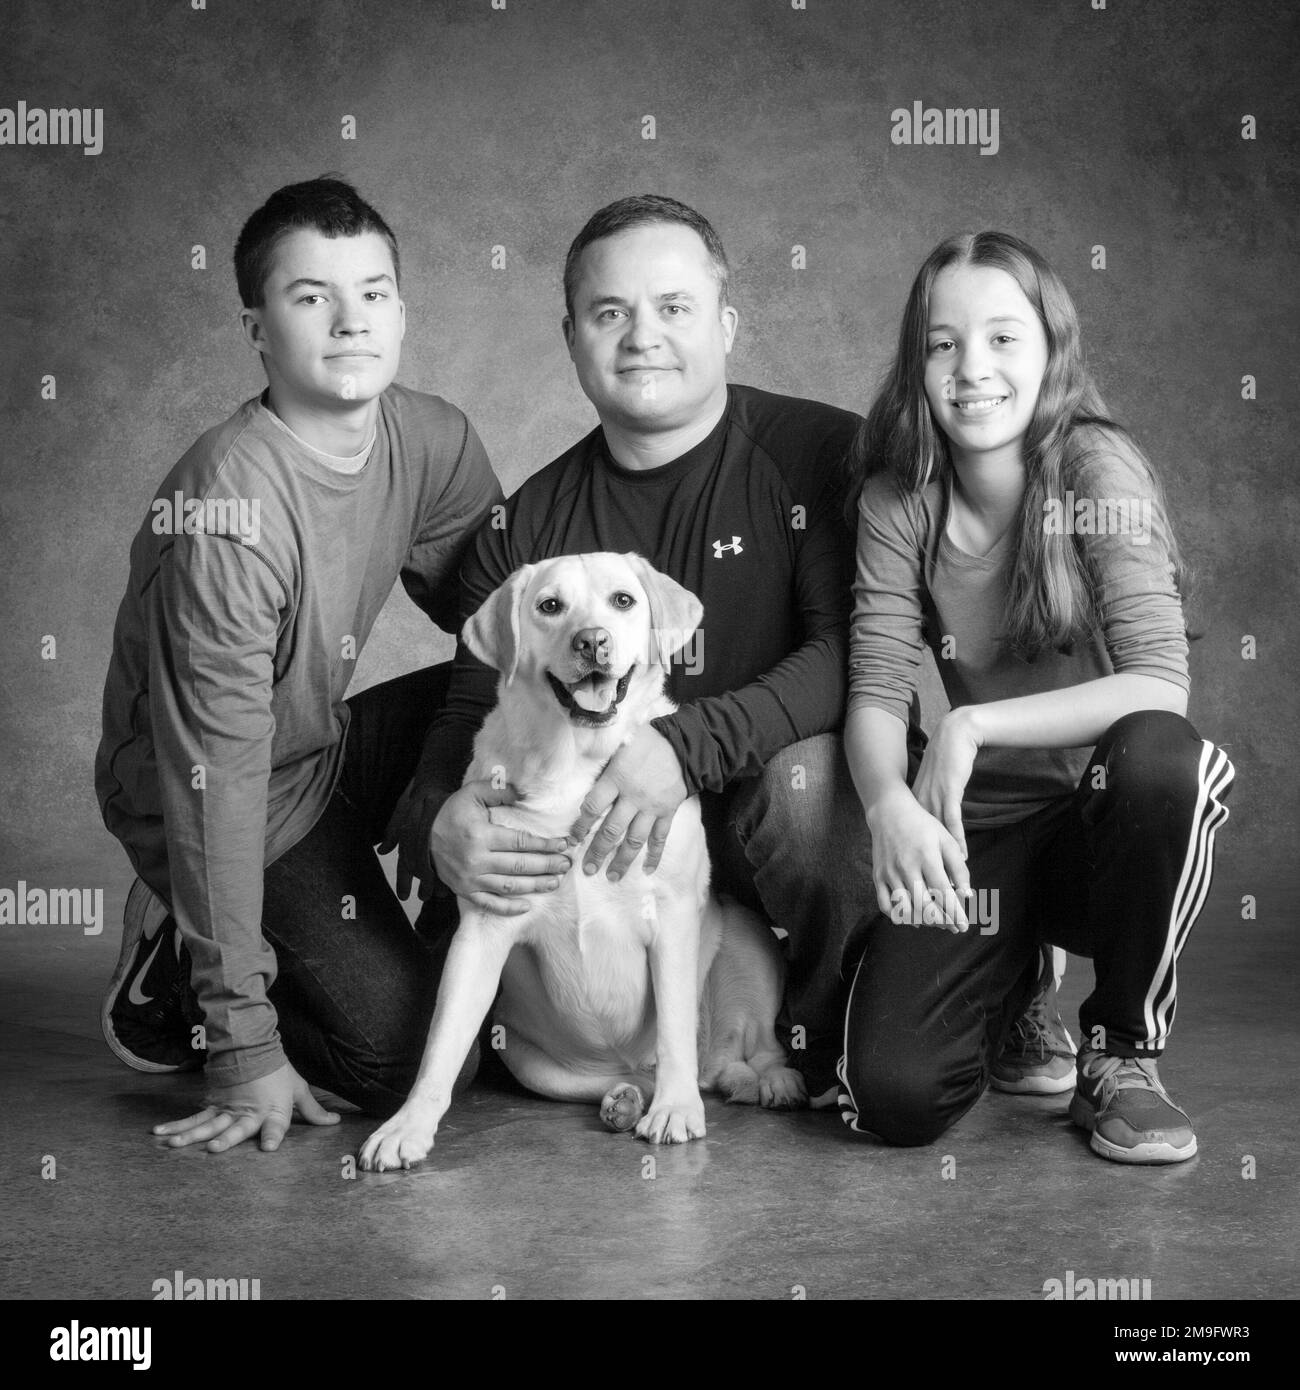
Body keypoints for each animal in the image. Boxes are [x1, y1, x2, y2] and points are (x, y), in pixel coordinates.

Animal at [358, 553, 800, 1173]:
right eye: (550, 606)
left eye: (622, 600)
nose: (592, 641)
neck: (578, 764)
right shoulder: (483, 929)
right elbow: (441, 1044)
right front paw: (407, 1127)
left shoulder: (672, 917)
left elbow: (673, 1029)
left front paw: (675, 1112)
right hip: (532, 1061)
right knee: (636, 1077)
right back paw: (626, 1099)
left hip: (746, 940)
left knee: (749, 1050)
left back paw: (764, 1082)